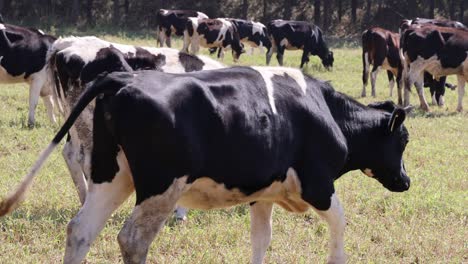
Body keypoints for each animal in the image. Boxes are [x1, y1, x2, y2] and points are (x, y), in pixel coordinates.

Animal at [0, 66, 412, 264]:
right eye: (404, 140)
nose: (406, 182)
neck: (325, 110)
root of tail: (121, 77)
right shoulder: (319, 184)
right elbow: (341, 225)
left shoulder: (262, 193)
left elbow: (261, 240)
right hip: (161, 188)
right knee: (131, 239)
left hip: (110, 176)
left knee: (80, 231)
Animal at [44, 36, 223, 220]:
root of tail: (67, 43)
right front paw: (180, 213)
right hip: (87, 121)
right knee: (85, 159)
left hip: (75, 119)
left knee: (70, 154)